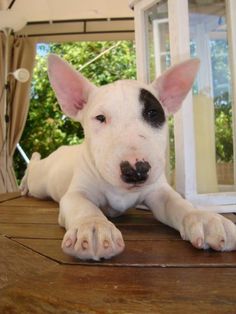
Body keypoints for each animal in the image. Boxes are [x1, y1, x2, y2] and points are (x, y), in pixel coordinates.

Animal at [20, 54, 236, 260]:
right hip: (41, 183)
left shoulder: (158, 192)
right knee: (34, 169)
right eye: (100, 118)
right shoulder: (76, 193)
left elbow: (178, 203)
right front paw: (93, 227)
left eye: (152, 113)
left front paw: (205, 219)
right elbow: (84, 206)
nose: (135, 171)